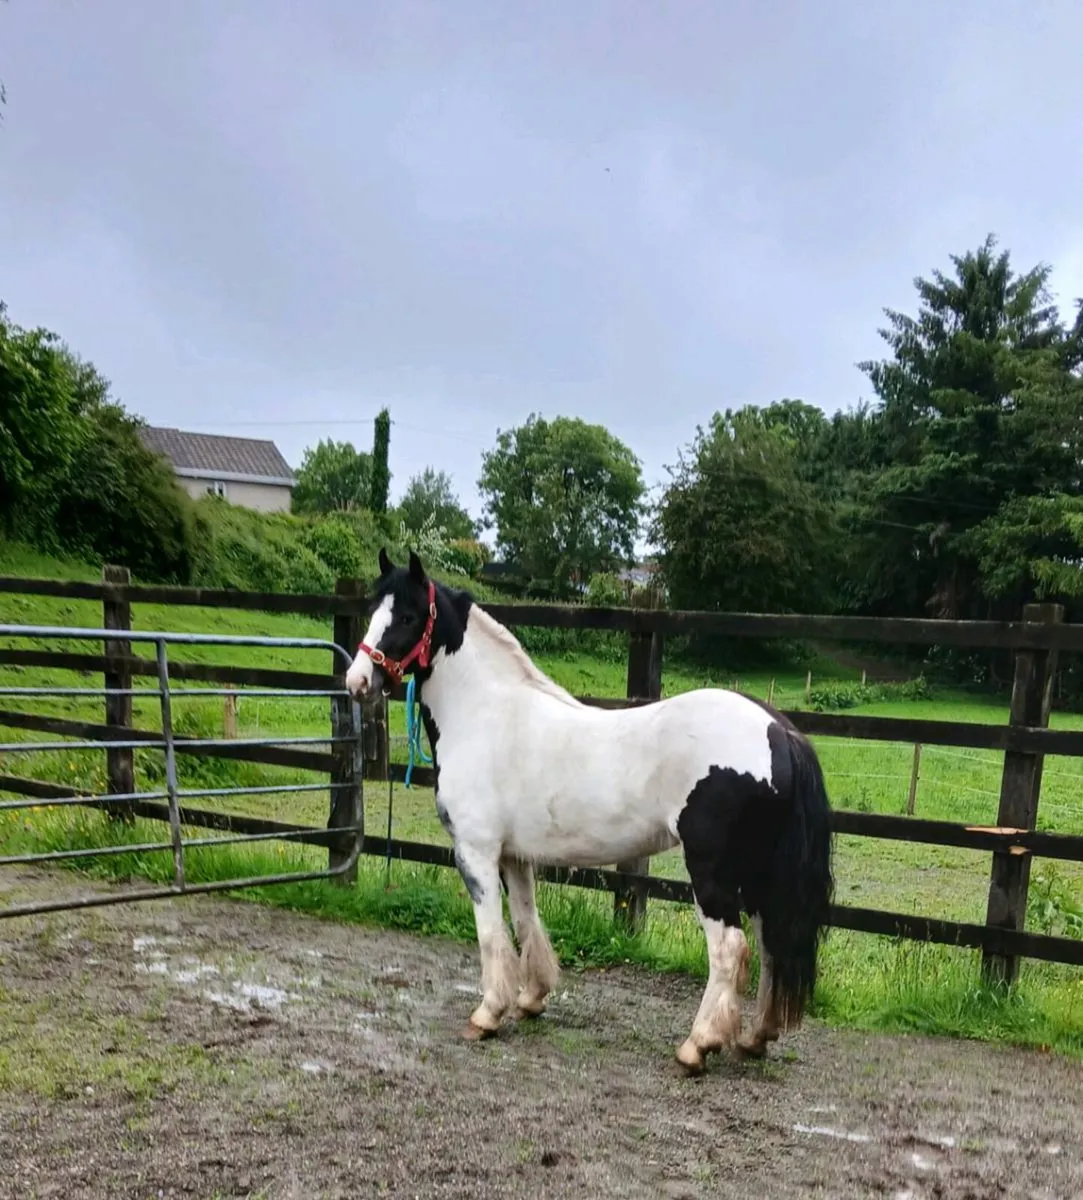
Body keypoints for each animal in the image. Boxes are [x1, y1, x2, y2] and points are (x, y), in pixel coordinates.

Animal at [345, 549, 834, 1073]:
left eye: (408, 616)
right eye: (373, 608)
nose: (357, 681)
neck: (486, 714)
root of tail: (779, 731)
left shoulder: (476, 851)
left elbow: (491, 932)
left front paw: (488, 1014)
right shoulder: (514, 856)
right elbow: (526, 921)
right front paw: (531, 999)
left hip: (712, 872)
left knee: (729, 951)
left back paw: (697, 1046)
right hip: (759, 874)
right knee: (770, 946)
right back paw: (754, 1038)